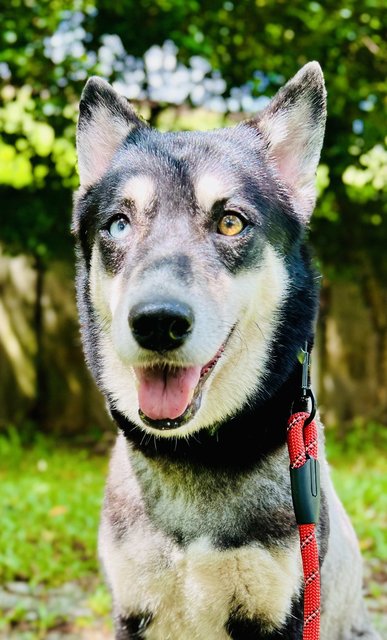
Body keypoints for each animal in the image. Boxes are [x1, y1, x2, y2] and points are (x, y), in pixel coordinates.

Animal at [72, 61, 378, 640]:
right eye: (118, 223)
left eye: (230, 221)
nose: (157, 322)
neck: (198, 452)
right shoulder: (133, 606)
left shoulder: (282, 609)